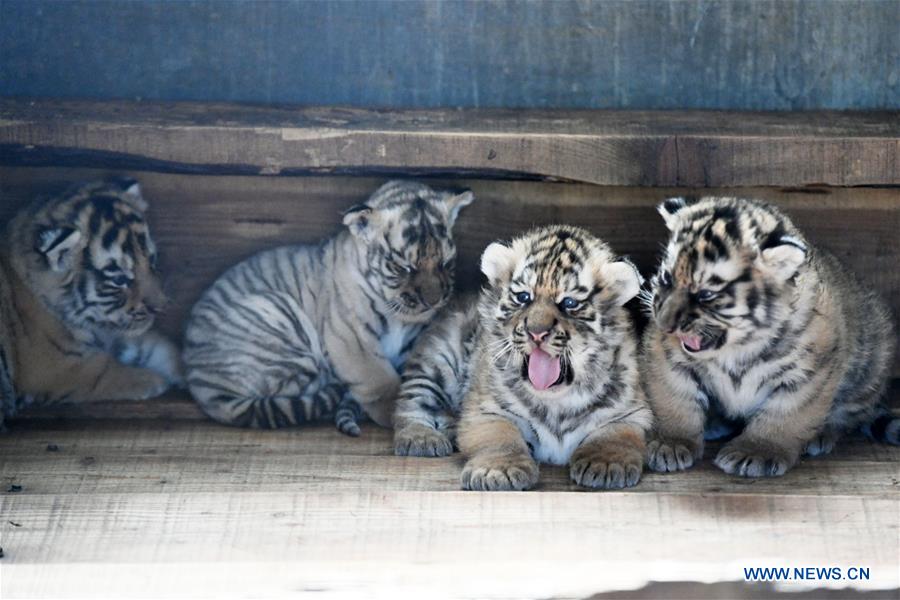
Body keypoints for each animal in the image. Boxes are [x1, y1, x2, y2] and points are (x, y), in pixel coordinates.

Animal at [0, 177, 182, 428]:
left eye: (152, 260)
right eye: (119, 279)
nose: (160, 306)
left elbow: (158, 347)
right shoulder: (57, 366)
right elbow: (105, 369)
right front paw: (155, 380)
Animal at [182, 180, 474, 435]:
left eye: (446, 263)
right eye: (404, 267)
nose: (434, 300)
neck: (399, 314)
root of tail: (201, 386)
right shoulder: (349, 336)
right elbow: (379, 377)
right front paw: (396, 410)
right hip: (279, 315)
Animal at [394, 225, 652, 491]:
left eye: (569, 303)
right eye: (523, 297)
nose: (536, 332)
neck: (556, 401)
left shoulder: (631, 412)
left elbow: (615, 435)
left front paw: (606, 463)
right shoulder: (486, 410)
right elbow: (500, 436)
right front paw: (498, 471)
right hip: (438, 359)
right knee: (412, 404)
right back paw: (422, 438)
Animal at [642, 196, 898, 478]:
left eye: (706, 294)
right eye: (666, 278)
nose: (664, 324)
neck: (737, 347)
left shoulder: (810, 374)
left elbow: (785, 415)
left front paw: (756, 451)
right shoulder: (666, 359)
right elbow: (675, 400)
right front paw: (670, 443)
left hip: (872, 361)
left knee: (850, 415)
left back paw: (820, 436)